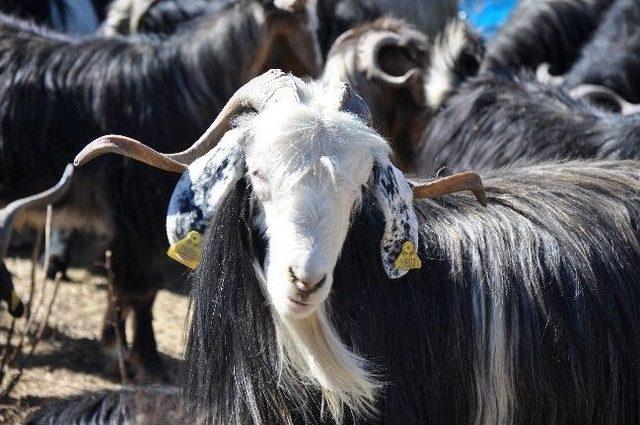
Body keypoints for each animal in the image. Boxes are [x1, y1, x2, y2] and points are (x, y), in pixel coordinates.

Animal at [0, 0, 320, 380]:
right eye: (294, 29)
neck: (176, 94)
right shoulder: (137, 217)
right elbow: (137, 286)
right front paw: (138, 357)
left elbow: (133, 287)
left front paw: (121, 347)